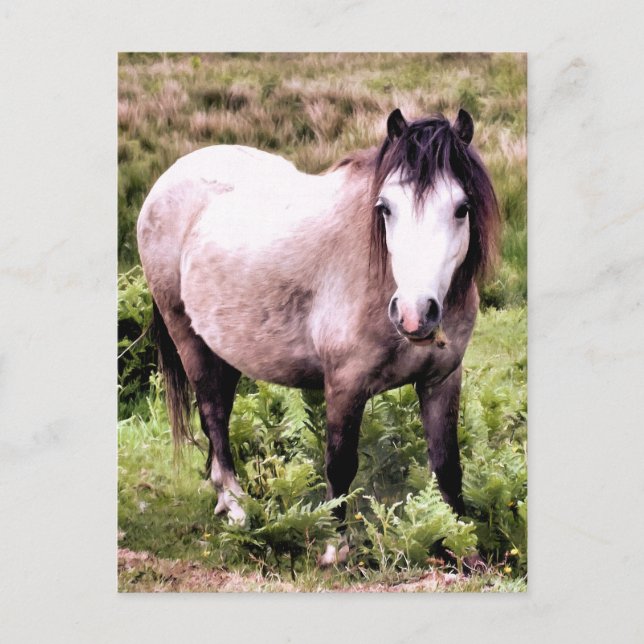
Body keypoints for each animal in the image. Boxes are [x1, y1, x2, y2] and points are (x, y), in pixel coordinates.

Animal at [137, 107, 499, 566]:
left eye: (461, 208)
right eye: (386, 208)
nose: (415, 314)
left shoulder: (442, 380)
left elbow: (448, 465)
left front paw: (463, 547)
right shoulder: (345, 384)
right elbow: (340, 464)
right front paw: (334, 547)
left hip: (226, 347)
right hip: (188, 337)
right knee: (214, 416)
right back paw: (236, 506)